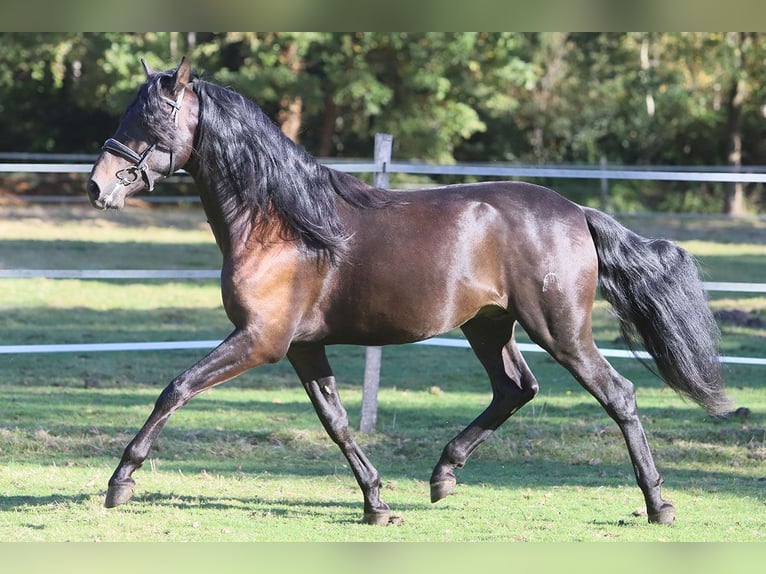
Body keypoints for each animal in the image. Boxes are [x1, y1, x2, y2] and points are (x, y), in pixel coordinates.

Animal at [86, 57, 731, 526]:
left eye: (149, 121)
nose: (98, 187)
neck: (284, 223)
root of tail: (576, 212)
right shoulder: (302, 347)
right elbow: (337, 421)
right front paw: (377, 503)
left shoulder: (260, 341)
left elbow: (175, 389)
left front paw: (120, 483)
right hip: (488, 325)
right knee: (515, 389)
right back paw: (443, 475)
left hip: (561, 330)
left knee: (617, 394)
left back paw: (658, 504)